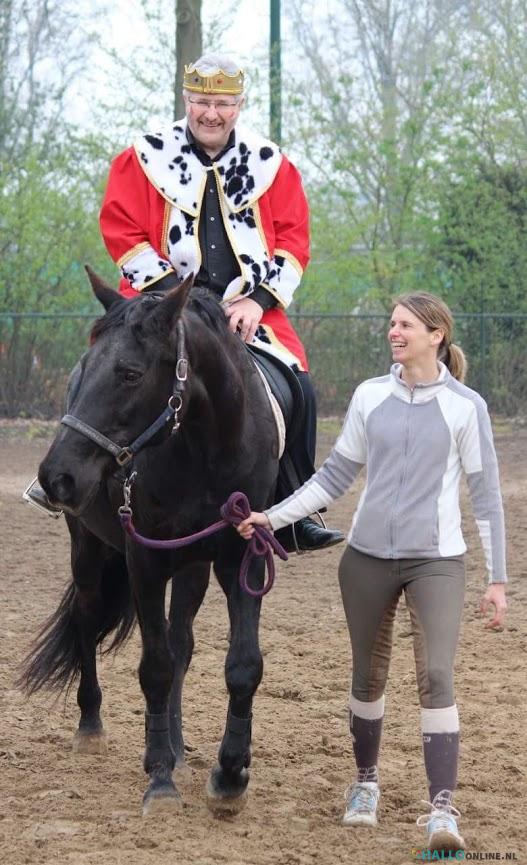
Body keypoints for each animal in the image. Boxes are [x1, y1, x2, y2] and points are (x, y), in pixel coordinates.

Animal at [20, 272, 280, 816]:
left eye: (130, 374)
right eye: (87, 367)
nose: (57, 477)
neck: (205, 450)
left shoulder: (242, 558)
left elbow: (241, 666)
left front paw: (230, 774)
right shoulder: (144, 562)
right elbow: (154, 667)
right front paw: (160, 778)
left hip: (192, 568)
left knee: (181, 642)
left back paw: (178, 746)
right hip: (89, 553)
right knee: (87, 620)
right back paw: (92, 726)